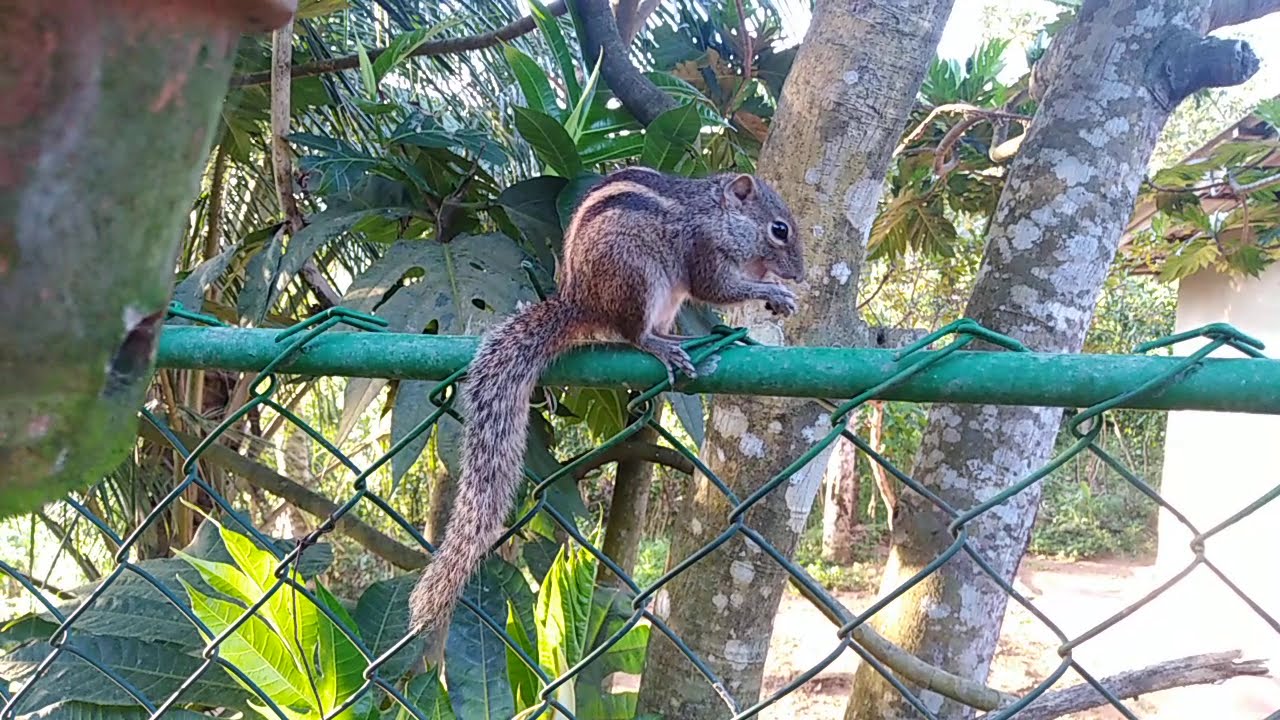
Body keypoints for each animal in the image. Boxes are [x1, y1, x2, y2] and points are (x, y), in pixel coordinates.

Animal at [407, 165, 805, 636]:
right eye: (779, 230)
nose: (799, 274)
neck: (715, 214)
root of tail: (579, 302)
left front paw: (775, 289)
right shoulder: (703, 250)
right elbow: (717, 288)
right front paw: (772, 291)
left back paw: (679, 339)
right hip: (636, 279)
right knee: (633, 335)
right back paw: (662, 345)